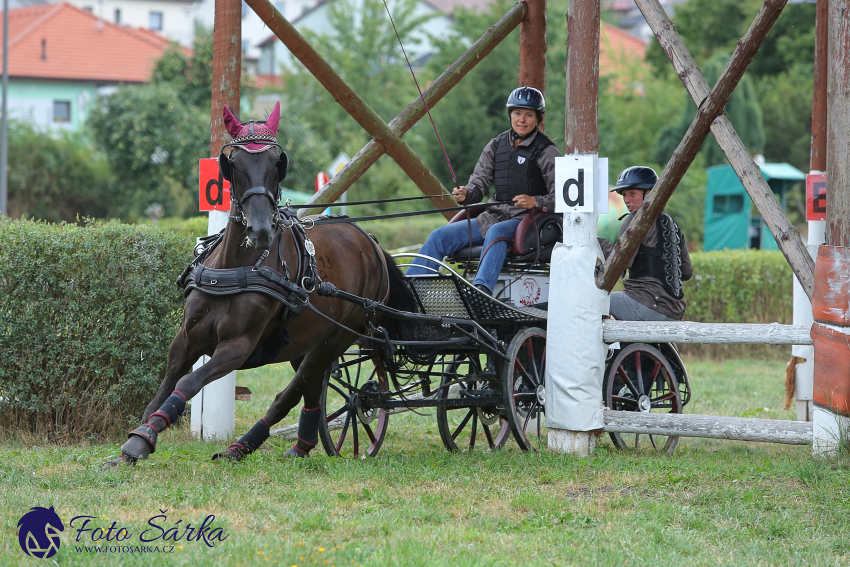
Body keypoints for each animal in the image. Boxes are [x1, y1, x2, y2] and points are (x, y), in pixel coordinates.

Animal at [110, 104, 418, 468]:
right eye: (234, 163)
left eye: (276, 162)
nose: (259, 230)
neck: (236, 268)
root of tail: (370, 242)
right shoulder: (186, 339)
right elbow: (166, 385)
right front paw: (140, 436)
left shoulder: (236, 346)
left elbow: (190, 380)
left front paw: (143, 439)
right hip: (307, 341)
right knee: (311, 389)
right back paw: (298, 446)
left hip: (336, 339)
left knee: (292, 391)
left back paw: (245, 445)